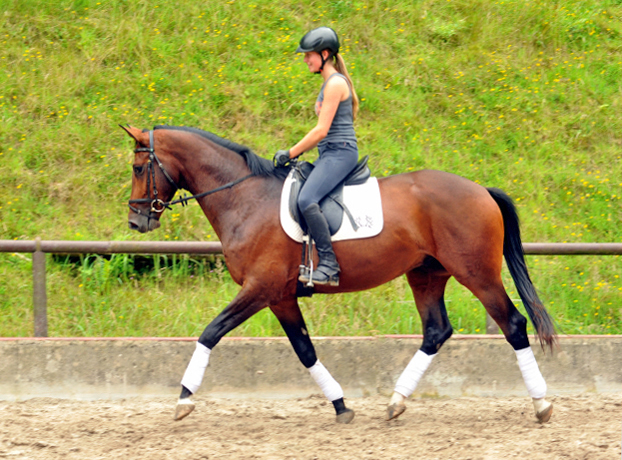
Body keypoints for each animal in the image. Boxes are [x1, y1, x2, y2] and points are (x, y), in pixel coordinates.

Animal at [124, 125, 560, 424]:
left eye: (138, 167)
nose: (136, 221)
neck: (245, 199)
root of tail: (481, 190)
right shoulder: (280, 296)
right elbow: (305, 350)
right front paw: (341, 406)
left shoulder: (260, 288)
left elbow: (210, 332)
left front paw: (184, 399)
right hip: (426, 274)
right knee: (436, 331)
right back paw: (396, 402)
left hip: (477, 273)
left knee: (513, 323)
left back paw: (541, 403)